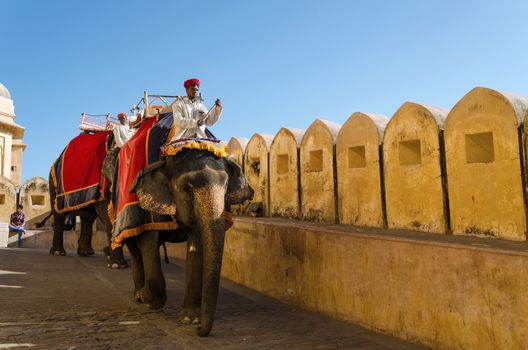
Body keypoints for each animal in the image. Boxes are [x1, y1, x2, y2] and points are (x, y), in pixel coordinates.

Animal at [126, 149, 254, 338]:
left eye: (225, 187)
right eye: (186, 188)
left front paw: (190, 320)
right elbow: (149, 240)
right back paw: (137, 295)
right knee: (135, 250)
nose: (199, 330)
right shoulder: (148, 208)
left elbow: (197, 243)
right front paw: (148, 300)